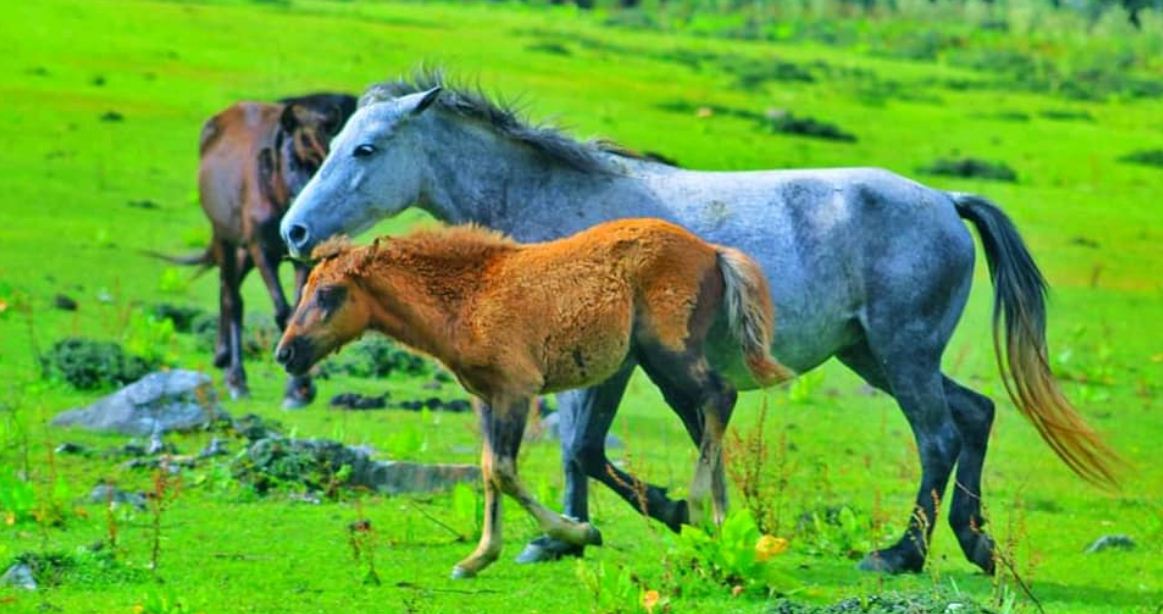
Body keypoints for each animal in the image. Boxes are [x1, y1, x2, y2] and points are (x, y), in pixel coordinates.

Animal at [163, 92, 353, 407]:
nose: (305, 221)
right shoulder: (261, 250)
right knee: (232, 298)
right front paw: (295, 388)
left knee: (229, 287)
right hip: (227, 239)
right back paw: (236, 378)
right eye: (292, 162)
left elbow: (299, 311)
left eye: (328, 163)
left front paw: (300, 388)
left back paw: (222, 355)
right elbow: (282, 312)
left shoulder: (299, 259)